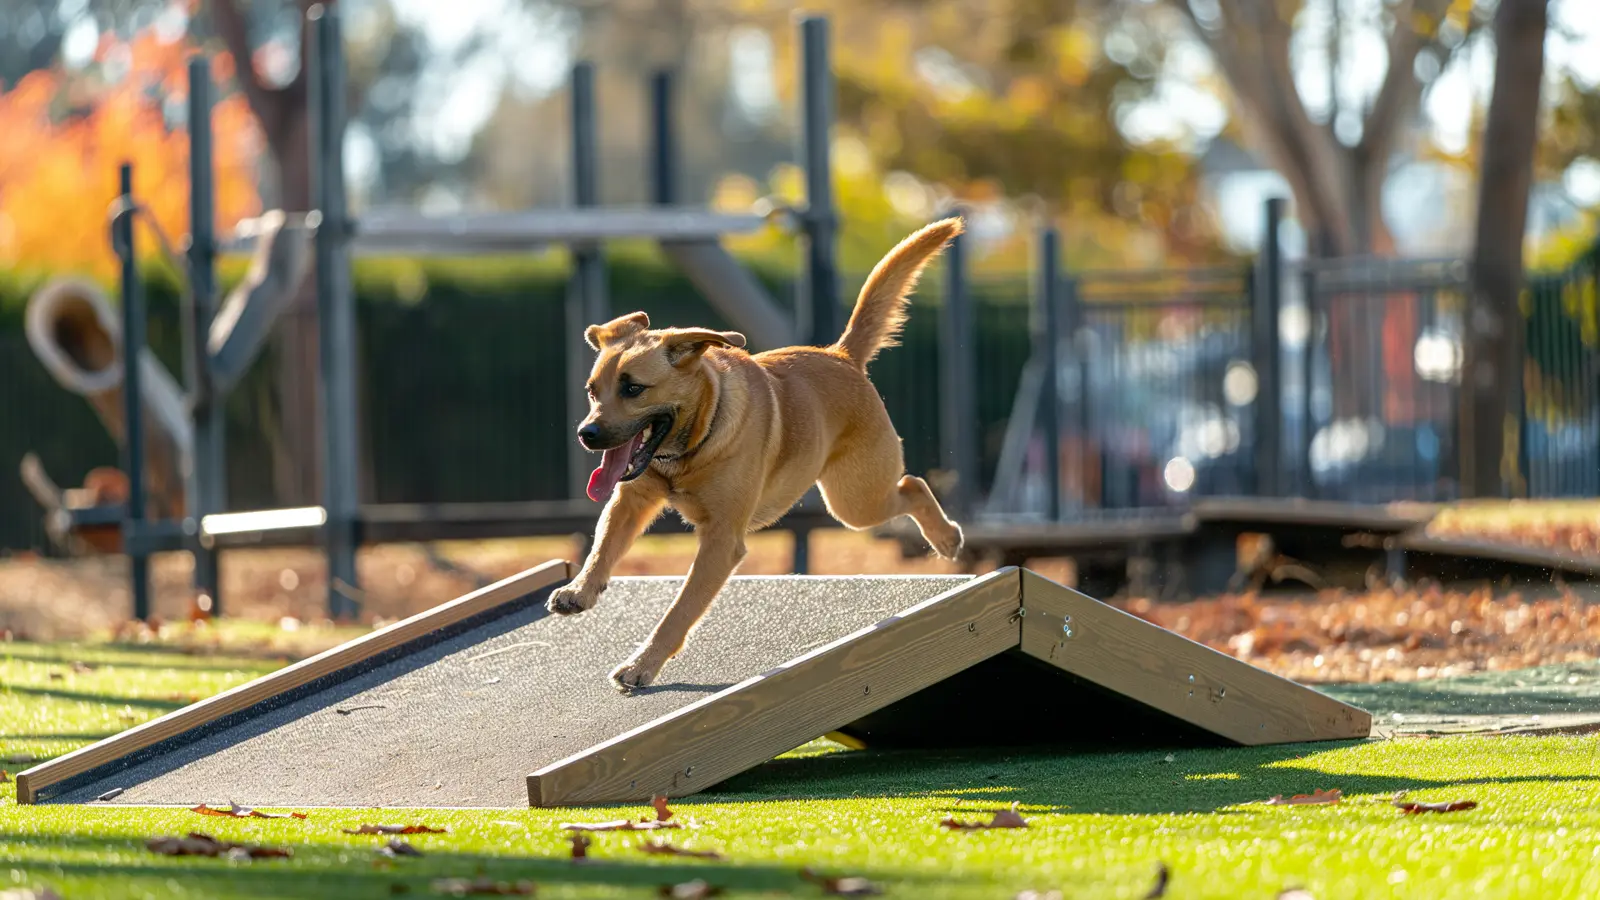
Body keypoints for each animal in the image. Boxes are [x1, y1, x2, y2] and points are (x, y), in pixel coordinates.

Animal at [550, 216, 966, 685]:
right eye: (591, 391)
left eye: (633, 389)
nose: (586, 433)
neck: (694, 443)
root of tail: (841, 355)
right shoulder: (631, 500)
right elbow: (602, 546)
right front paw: (579, 589)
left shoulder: (721, 540)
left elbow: (679, 610)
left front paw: (643, 665)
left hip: (854, 502)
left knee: (912, 484)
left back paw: (947, 537)